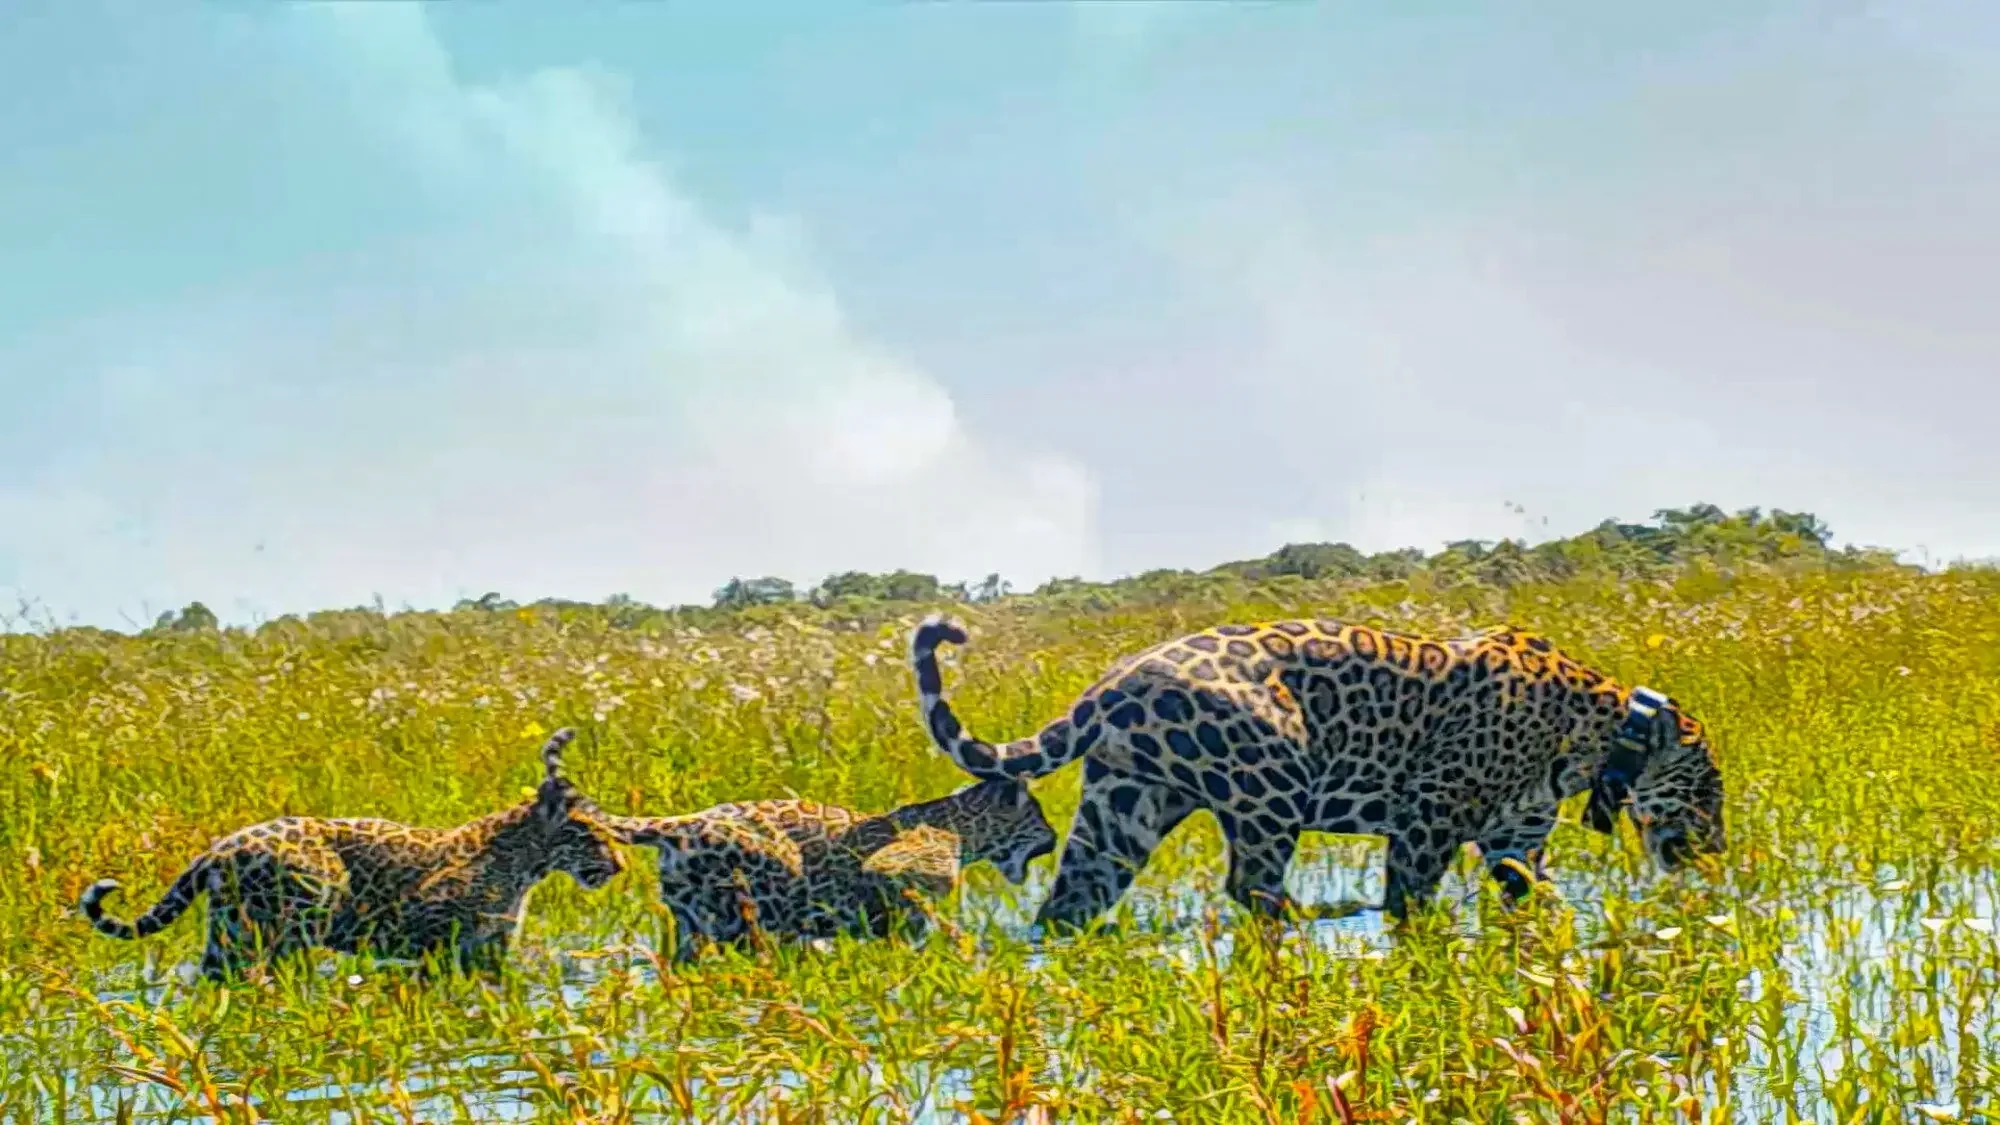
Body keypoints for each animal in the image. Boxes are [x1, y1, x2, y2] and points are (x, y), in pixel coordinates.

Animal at [79, 728, 625, 982]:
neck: (525, 865)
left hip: (232, 932)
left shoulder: (487, 950)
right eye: (589, 834)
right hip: (278, 928)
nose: (619, 866)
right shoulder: (435, 935)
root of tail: (218, 847)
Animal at [908, 613, 1725, 932]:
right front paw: (1414, 934)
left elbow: (1538, 894)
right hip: (1273, 780)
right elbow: (1410, 894)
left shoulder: (1515, 837)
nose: (1717, 847)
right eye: (1711, 791)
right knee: (1251, 884)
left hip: (1125, 807)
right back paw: (1316, 920)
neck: (1602, 732)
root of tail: (1110, 683)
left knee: (1073, 895)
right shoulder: (1431, 809)